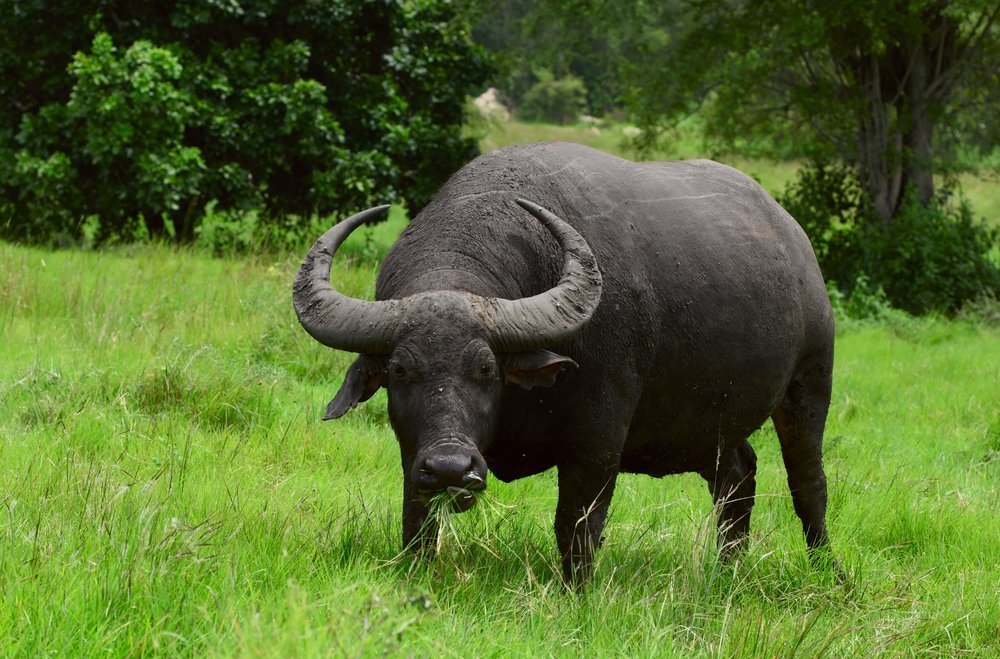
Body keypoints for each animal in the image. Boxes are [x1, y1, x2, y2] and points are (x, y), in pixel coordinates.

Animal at [294, 143, 836, 584]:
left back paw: (828, 572)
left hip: (811, 382)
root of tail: (796, 242)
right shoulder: (413, 452)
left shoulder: (598, 440)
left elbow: (576, 524)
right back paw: (727, 570)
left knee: (807, 484)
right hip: (708, 425)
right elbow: (416, 518)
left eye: (486, 370)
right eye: (400, 372)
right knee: (737, 477)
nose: (451, 467)